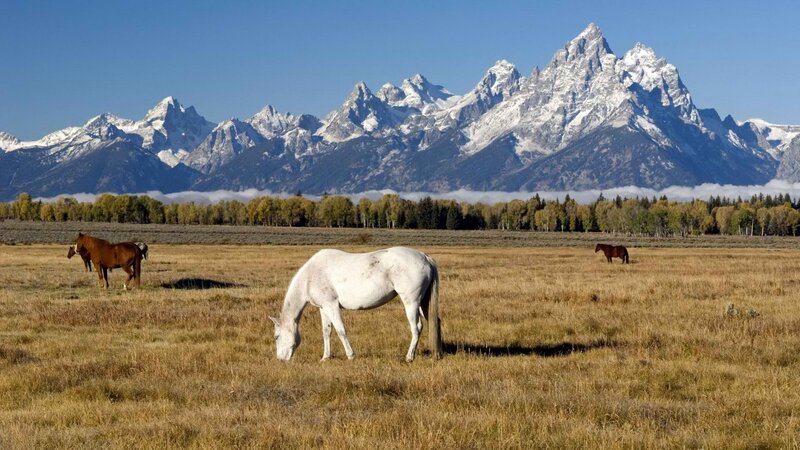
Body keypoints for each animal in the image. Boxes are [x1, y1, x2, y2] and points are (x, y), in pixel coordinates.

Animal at [270, 247, 442, 362]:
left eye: (277, 336)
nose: (280, 359)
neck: (311, 276)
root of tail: (425, 257)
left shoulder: (332, 305)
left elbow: (341, 330)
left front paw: (350, 355)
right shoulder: (323, 308)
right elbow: (326, 332)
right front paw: (325, 357)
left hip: (411, 302)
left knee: (417, 328)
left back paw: (409, 357)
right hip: (423, 303)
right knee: (435, 323)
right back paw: (437, 353)